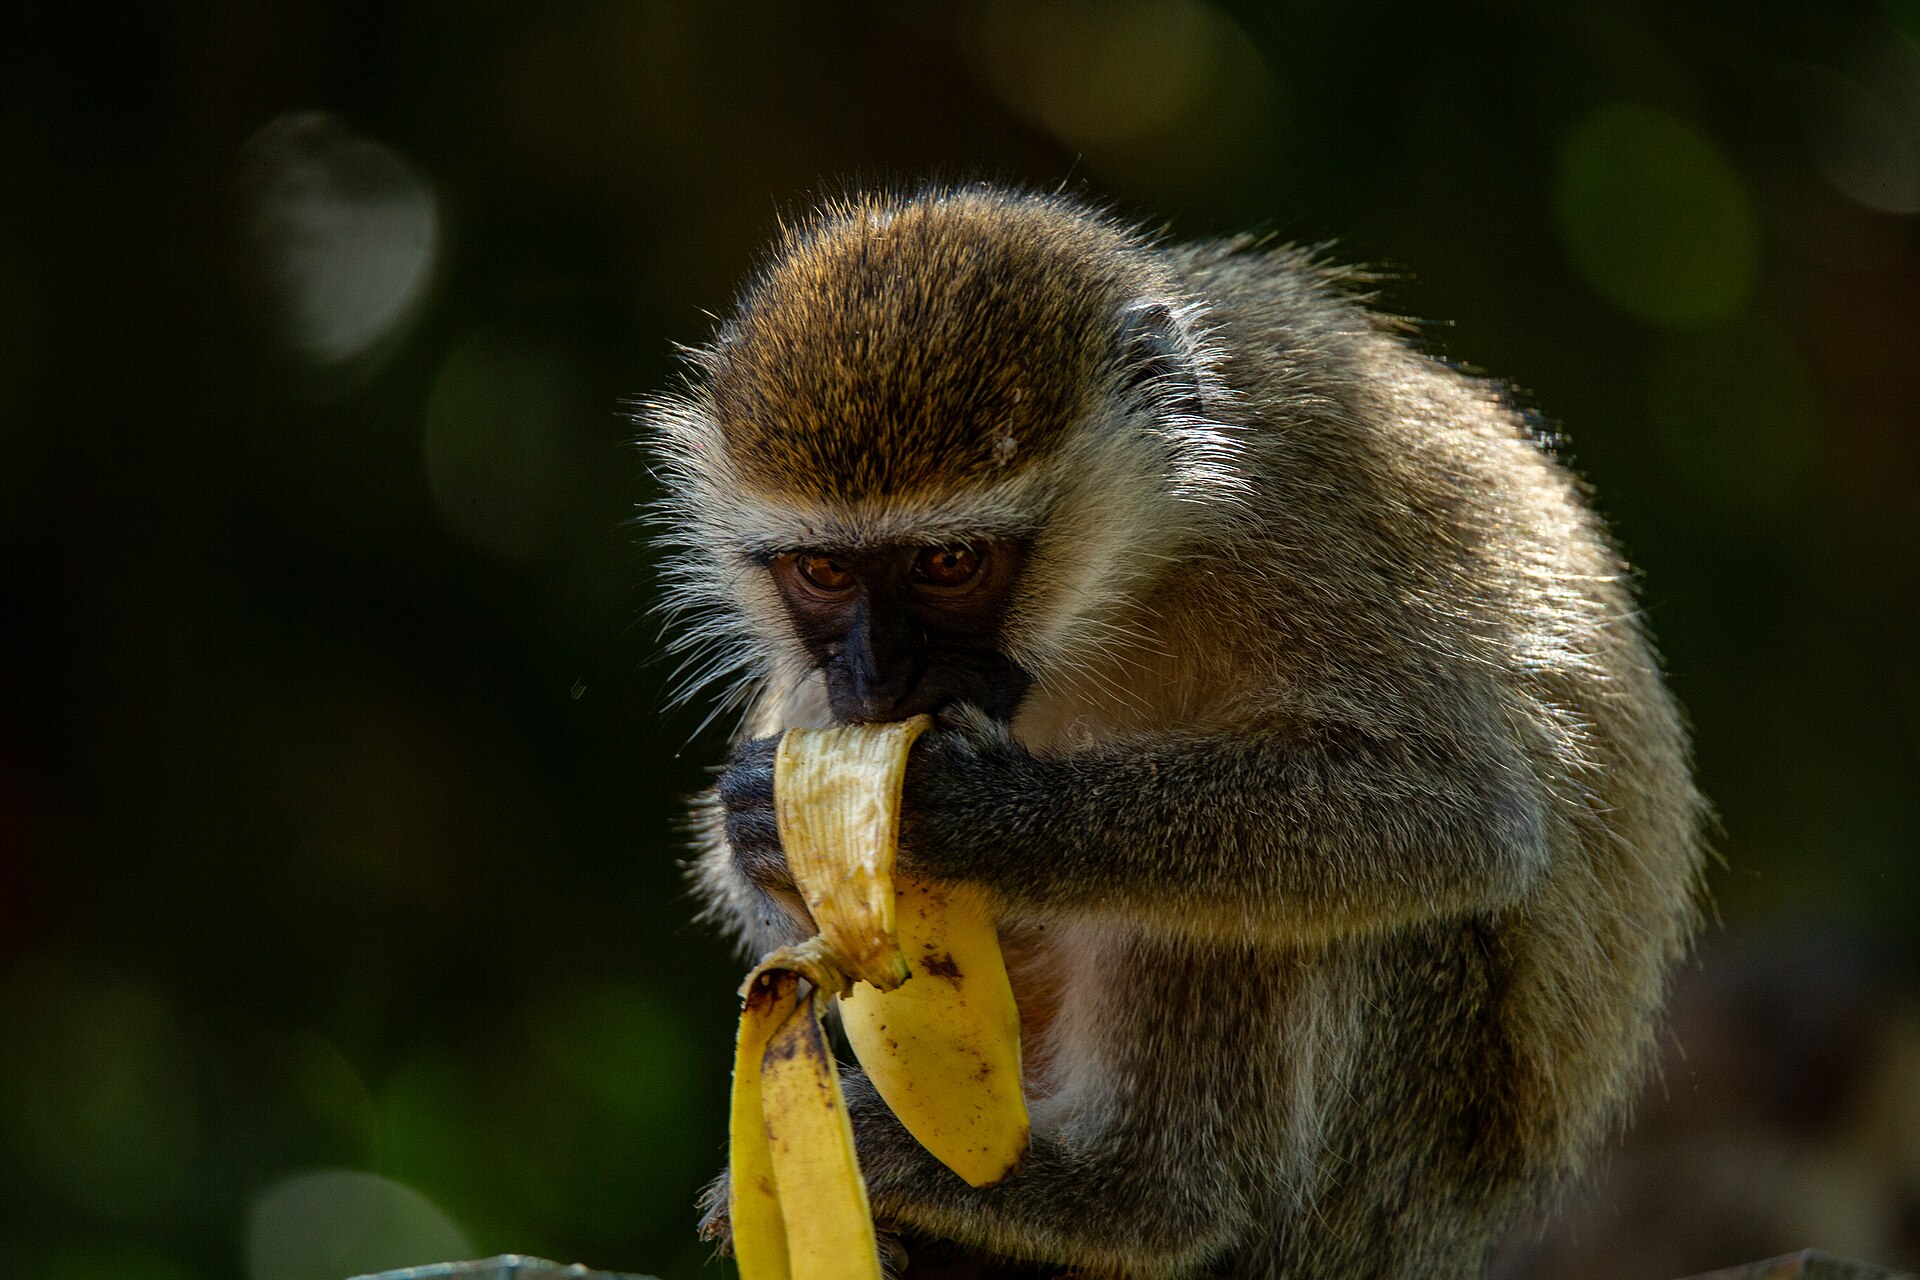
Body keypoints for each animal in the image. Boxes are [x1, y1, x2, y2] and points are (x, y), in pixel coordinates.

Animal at [643, 184, 1708, 1279]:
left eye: (950, 562)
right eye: (823, 572)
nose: (878, 675)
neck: (1125, 572)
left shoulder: (1297, 528)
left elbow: (1456, 812)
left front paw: (971, 817)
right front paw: (758, 833)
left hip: (1389, 1166)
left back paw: (1131, 1197)